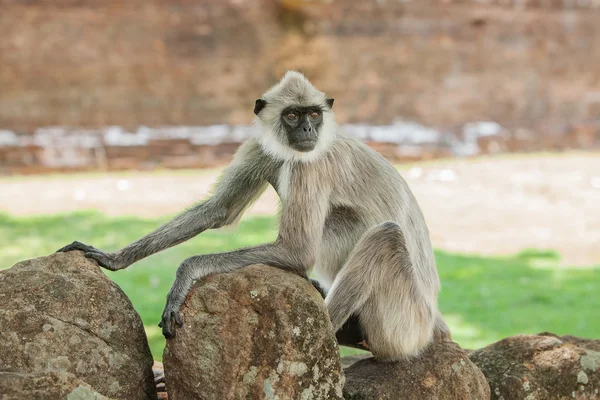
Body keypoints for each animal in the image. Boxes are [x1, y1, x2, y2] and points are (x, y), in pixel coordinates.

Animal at [57, 72, 450, 362]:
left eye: (314, 114)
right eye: (292, 115)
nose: (307, 130)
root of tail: (433, 321)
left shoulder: (311, 163)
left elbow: (296, 251)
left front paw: (186, 272)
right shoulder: (263, 146)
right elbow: (220, 210)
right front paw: (115, 257)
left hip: (405, 324)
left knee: (384, 234)